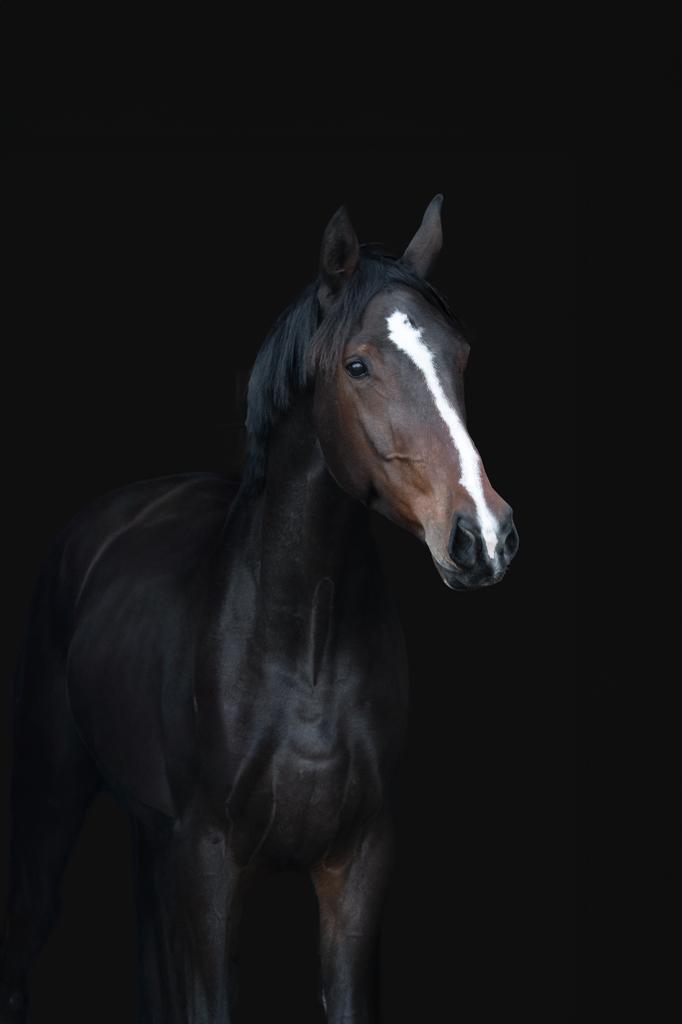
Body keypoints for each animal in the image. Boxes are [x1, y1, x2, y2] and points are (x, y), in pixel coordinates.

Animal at [0, 196, 518, 1023]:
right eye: (358, 365)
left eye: (460, 355)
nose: (484, 537)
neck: (301, 647)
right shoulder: (209, 864)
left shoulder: (357, 863)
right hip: (51, 805)